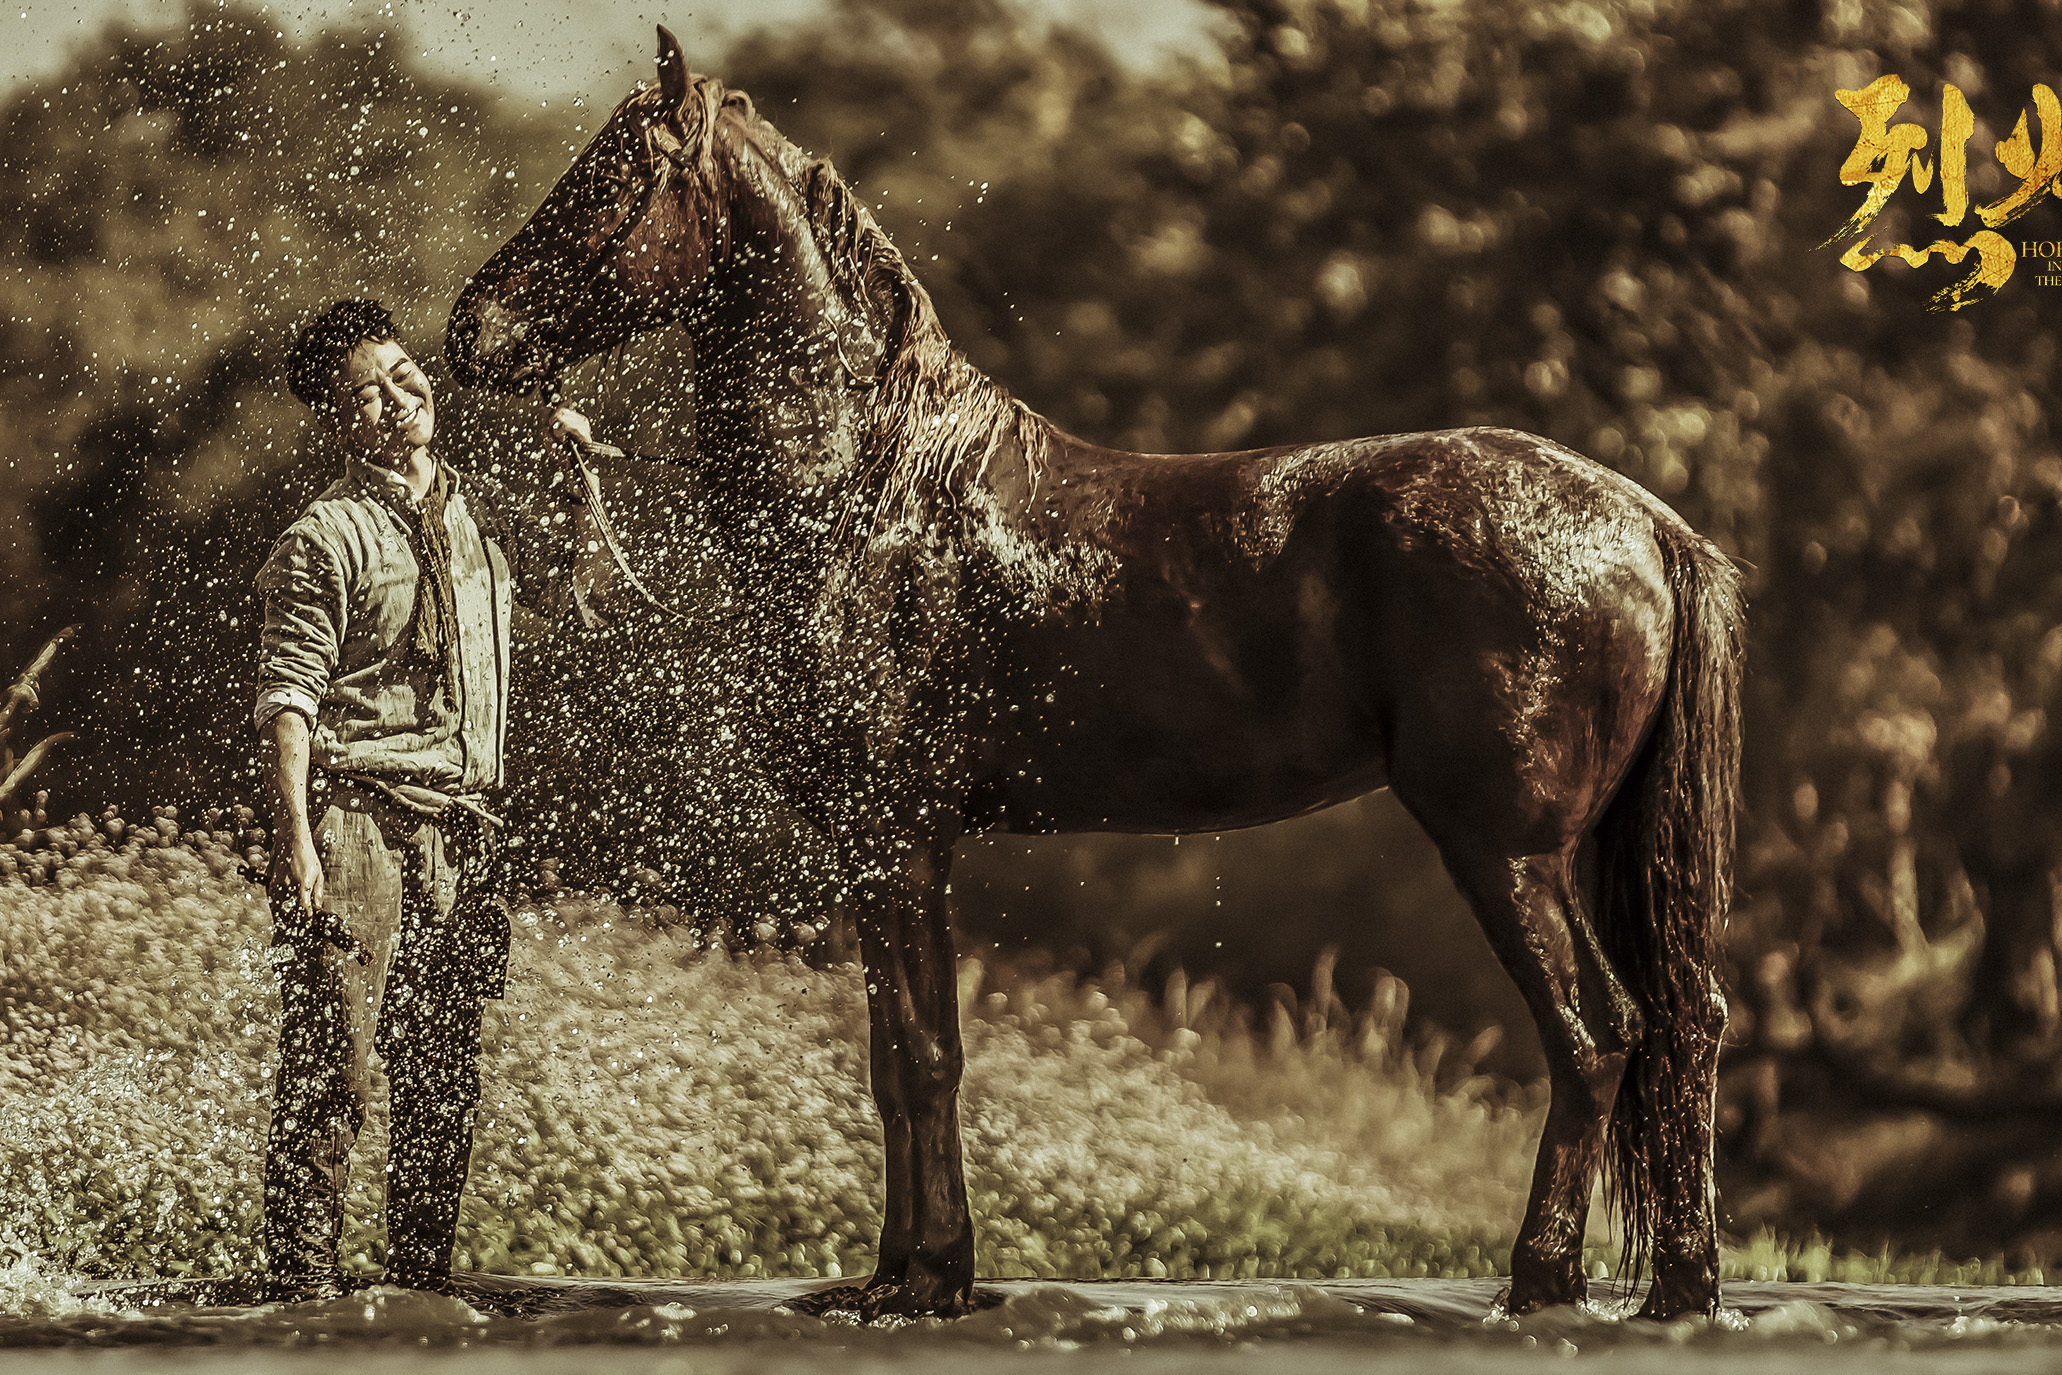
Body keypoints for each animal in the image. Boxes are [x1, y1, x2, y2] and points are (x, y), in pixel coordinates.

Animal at [447, 29, 1740, 1319]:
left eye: (611, 182)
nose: (472, 330)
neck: (875, 488)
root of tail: (1641, 521)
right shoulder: (886, 847)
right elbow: (892, 1062)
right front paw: (896, 1275)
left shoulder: (898, 839)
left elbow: (926, 1056)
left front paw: (929, 1279)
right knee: (1678, 1027)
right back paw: (1677, 1286)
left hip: (1503, 846)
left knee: (1595, 1034)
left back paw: (1539, 1281)